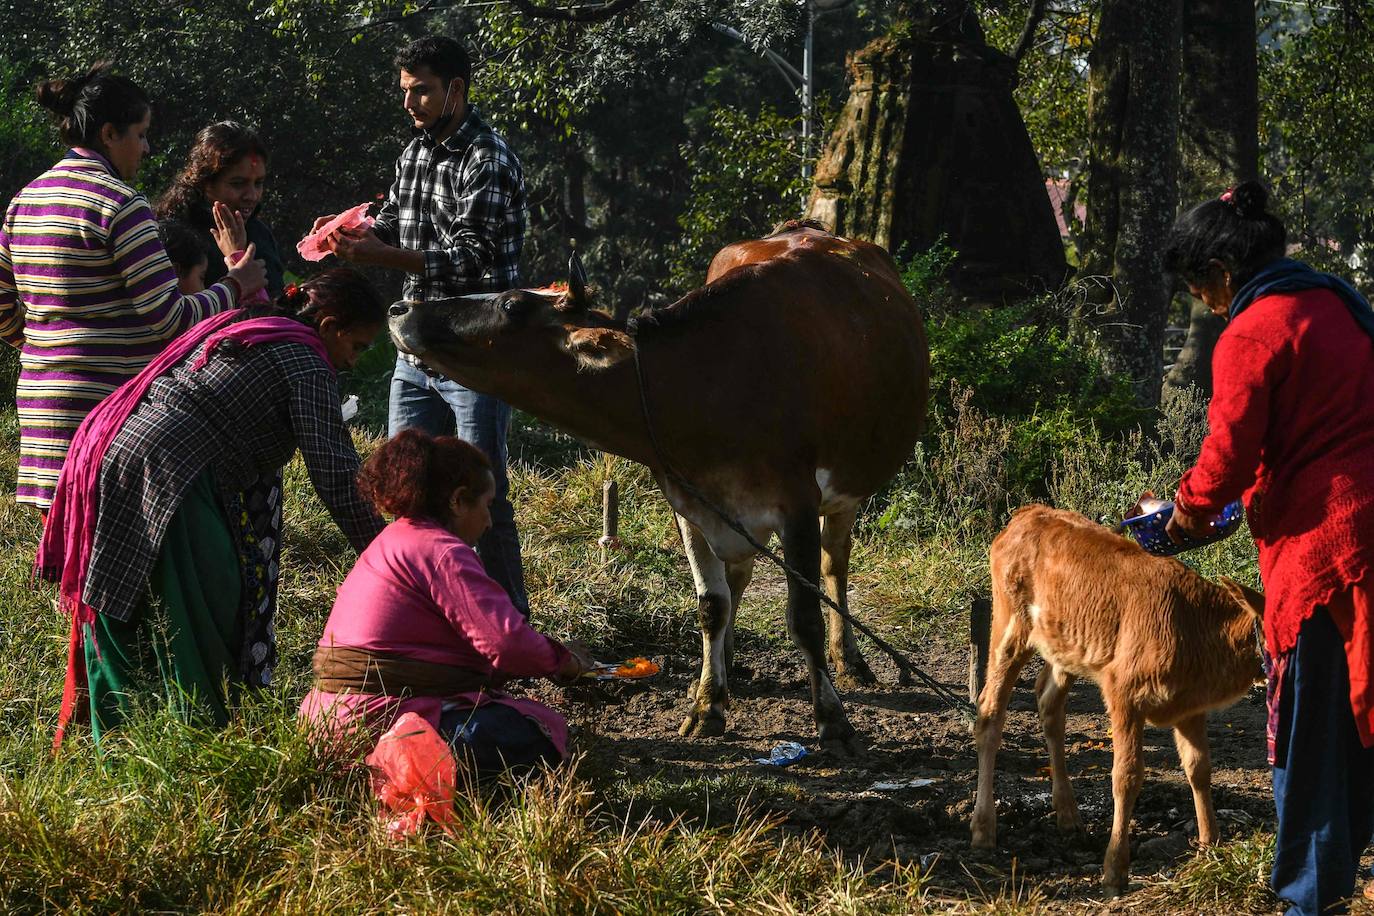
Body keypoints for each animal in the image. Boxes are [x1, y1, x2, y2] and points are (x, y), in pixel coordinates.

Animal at [387, 225, 928, 747]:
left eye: (513, 304)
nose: (399, 307)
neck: (707, 385)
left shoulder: (797, 505)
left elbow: (805, 616)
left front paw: (832, 720)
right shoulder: (688, 501)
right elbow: (711, 606)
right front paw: (708, 705)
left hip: (848, 487)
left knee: (835, 562)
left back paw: (849, 659)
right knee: (739, 578)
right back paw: (726, 665)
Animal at [972, 505, 1258, 889]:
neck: (1196, 628)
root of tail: (1029, 512)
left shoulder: (1190, 708)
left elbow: (1199, 768)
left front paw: (1210, 846)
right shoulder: (1123, 692)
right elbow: (1126, 775)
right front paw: (1115, 869)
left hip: (1066, 645)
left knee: (1048, 701)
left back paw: (1068, 815)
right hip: (1009, 625)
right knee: (989, 711)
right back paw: (983, 829)